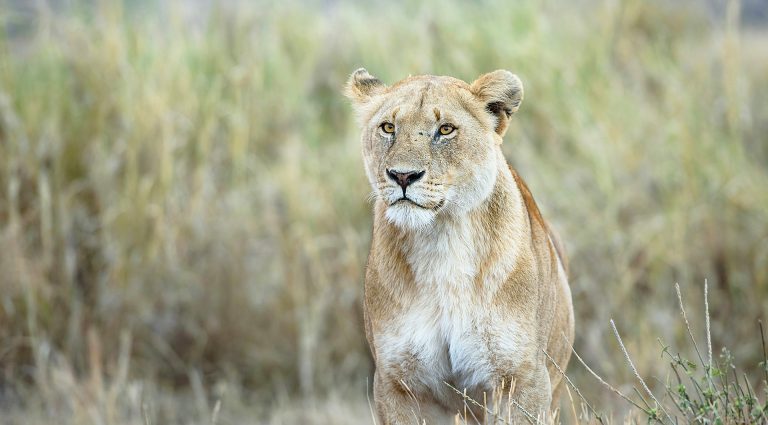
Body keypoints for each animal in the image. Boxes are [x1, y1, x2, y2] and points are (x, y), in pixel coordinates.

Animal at [345, 68, 574, 424]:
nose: (402, 176)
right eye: (388, 127)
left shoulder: (523, 379)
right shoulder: (397, 384)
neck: (441, 240)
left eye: (445, 129)